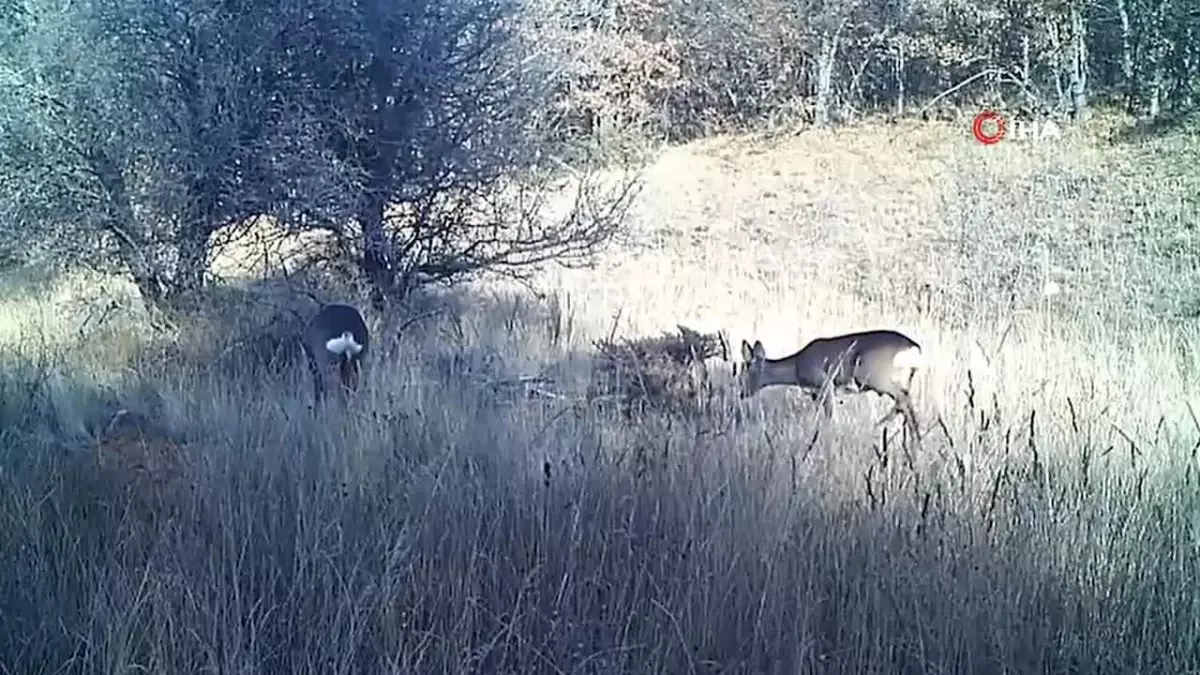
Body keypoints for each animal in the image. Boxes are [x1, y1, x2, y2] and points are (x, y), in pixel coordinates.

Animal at [734, 329, 921, 439]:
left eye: (743, 372)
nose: (741, 392)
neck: (796, 366)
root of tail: (914, 348)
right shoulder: (816, 394)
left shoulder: (825, 384)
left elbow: (831, 417)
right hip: (902, 379)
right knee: (907, 406)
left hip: (874, 376)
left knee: (903, 401)